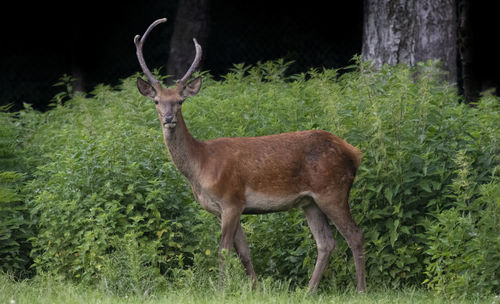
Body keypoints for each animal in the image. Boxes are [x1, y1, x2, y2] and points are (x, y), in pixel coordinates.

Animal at [135, 18, 366, 292]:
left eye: (180, 101)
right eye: (157, 101)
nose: (169, 118)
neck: (200, 166)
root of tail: (354, 153)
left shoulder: (232, 200)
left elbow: (223, 251)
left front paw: (221, 289)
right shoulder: (228, 208)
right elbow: (244, 252)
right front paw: (255, 288)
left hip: (333, 191)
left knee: (355, 235)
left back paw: (361, 289)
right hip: (311, 202)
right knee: (326, 242)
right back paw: (309, 291)